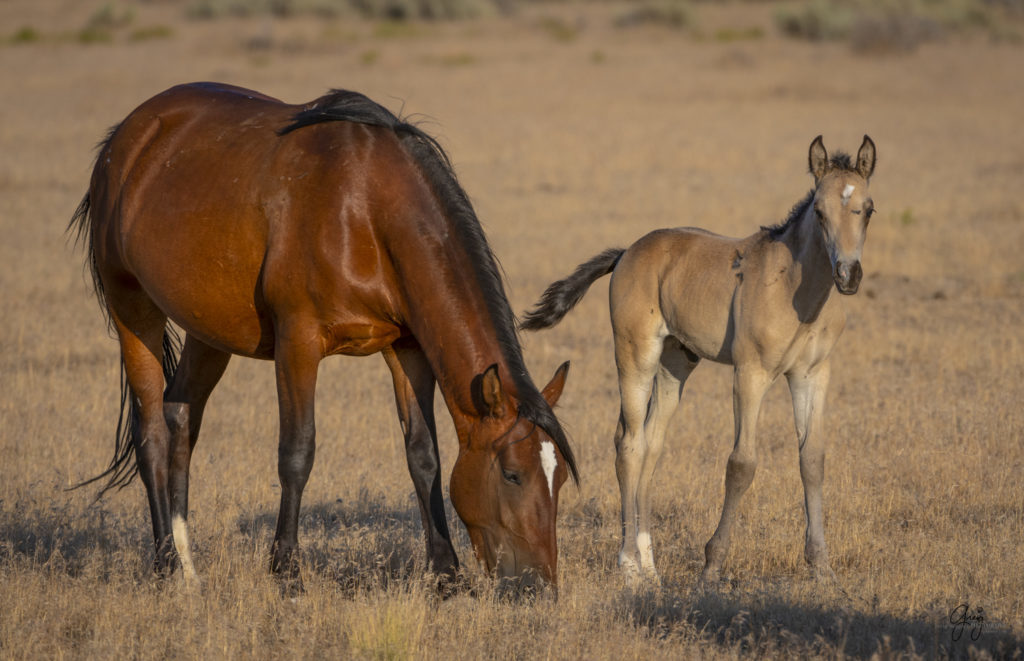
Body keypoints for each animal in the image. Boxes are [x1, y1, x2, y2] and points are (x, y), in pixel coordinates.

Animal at [70, 81, 585, 597]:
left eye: (558, 478)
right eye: (513, 475)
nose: (540, 587)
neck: (365, 209)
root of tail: (127, 136)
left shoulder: (408, 348)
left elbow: (424, 455)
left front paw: (445, 574)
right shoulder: (298, 343)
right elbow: (297, 452)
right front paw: (286, 571)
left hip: (207, 327)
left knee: (180, 418)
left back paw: (189, 567)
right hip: (132, 308)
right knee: (152, 432)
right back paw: (165, 567)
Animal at [524, 135, 876, 585]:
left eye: (868, 209)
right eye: (819, 209)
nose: (848, 275)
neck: (796, 289)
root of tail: (628, 252)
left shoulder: (812, 375)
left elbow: (812, 460)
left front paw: (822, 567)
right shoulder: (750, 374)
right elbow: (741, 463)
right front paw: (712, 565)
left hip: (676, 364)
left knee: (652, 445)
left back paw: (651, 566)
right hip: (636, 357)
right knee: (630, 445)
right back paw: (629, 565)